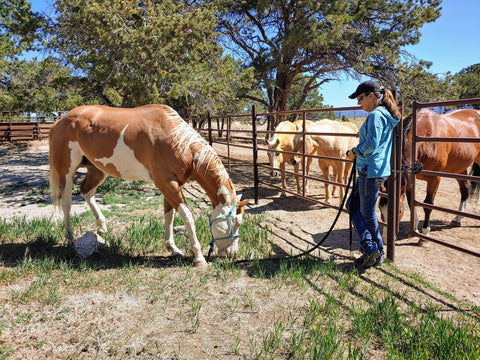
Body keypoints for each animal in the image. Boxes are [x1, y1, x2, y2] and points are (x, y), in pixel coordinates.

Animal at [48, 102, 249, 266]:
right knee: (66, 203)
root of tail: (61, 120)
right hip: (67, 172)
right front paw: (198, 256)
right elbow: (187, 216)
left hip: (97, 170)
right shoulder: (167, 184)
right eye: (236, 222)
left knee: (87, 192)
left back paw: (102, 227)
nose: (232, 253)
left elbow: (170, 215)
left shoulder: (173, 185)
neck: (178, 141)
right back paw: (70, 239)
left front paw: (173, 248)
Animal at [378, 108, 480, 238]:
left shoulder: (434, 179)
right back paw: (457, 219)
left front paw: (425, 232)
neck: (425, 139)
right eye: (380, 209)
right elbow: (411, 202)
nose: (386, 239)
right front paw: (415, 228)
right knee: (465, 190)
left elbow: (428, 204)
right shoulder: (410, 178)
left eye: (399, 210)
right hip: (459, 169)